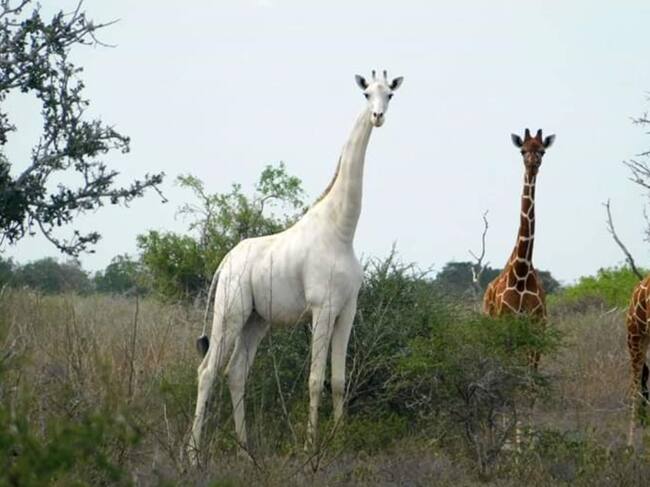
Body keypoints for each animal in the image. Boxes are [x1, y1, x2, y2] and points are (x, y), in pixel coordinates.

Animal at [188, 70, 404, 464]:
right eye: (367, 93)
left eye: (390, 95)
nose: (378, 117)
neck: (341, 230)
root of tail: (224, 262)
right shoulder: (322, 308)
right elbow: (315, 380)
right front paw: (309, 450)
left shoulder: (348, 310)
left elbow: (339, 381)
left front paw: (339, 444)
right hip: (230, 311)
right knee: (207, 370)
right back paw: (193, 457)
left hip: (256, 320)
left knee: (235, 373)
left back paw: (246, 452)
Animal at [483, 128, 555, 362]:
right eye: (522, 150)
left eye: (542, 151)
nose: (532, 162)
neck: (521, 271)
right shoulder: (507, 322)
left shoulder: (537, 326)